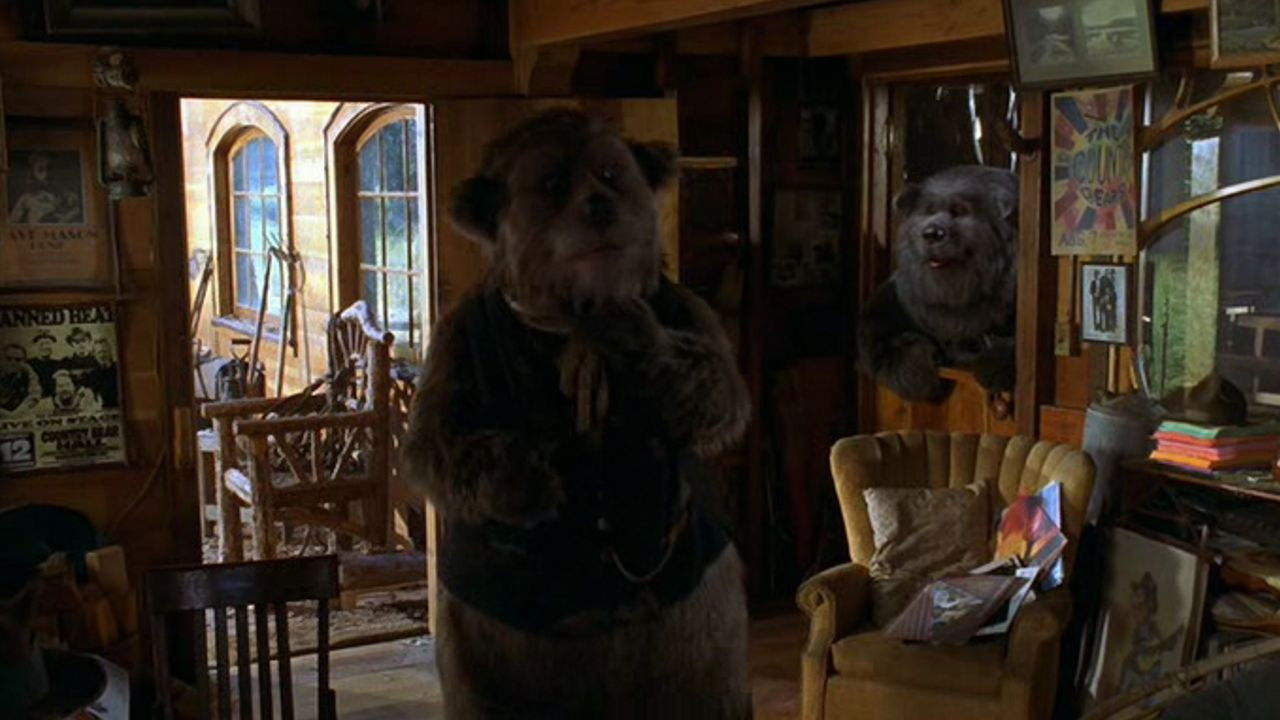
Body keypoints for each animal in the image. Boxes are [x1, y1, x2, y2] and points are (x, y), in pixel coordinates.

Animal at [403, 108, 753, 719]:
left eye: (611, 173)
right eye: (551, 183)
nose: (599, 206)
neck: (572, 318)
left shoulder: (688, 313)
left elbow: (718, 397)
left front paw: (634, 334)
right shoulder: (454, 344)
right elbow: (437, 443)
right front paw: (524, 481)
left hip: (699, 634)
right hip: (488, 650)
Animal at [857, 164, 1019, 403]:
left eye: (959, 211)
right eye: (928, 212)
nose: (932, 233)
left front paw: (994, 366)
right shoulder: (889, 304)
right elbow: (883, 340)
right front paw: (916, 371)